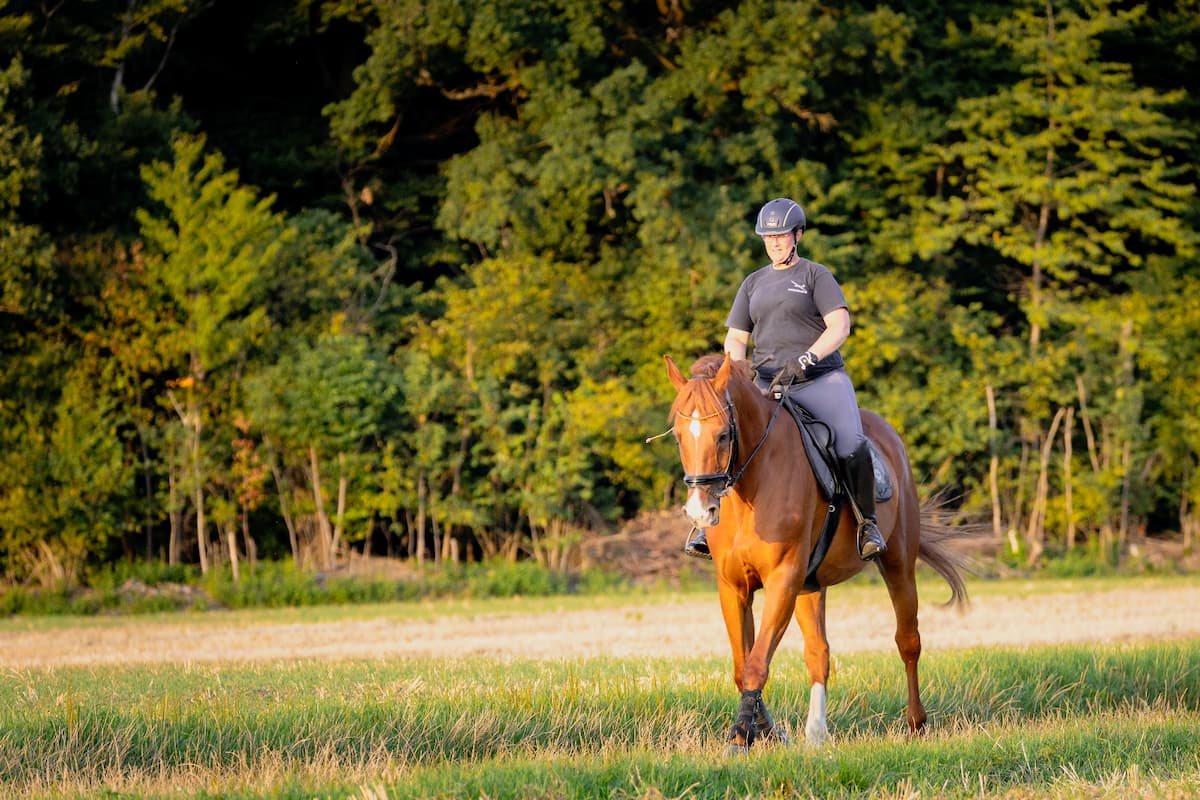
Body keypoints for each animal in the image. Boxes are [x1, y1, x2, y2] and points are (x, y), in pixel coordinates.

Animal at [663, 352, 968, 750]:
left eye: (723, 435)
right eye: (679, 437)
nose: (701, 511)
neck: (753, 487)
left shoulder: (783, 578)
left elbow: (757, 663)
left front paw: (742, 737)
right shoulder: (734, 587)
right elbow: (743, 665)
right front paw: (768, 731)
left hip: (897, 562)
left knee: (908, 641)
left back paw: (916, 723)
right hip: (811, 585)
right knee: (819, 652)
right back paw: (816, 733)